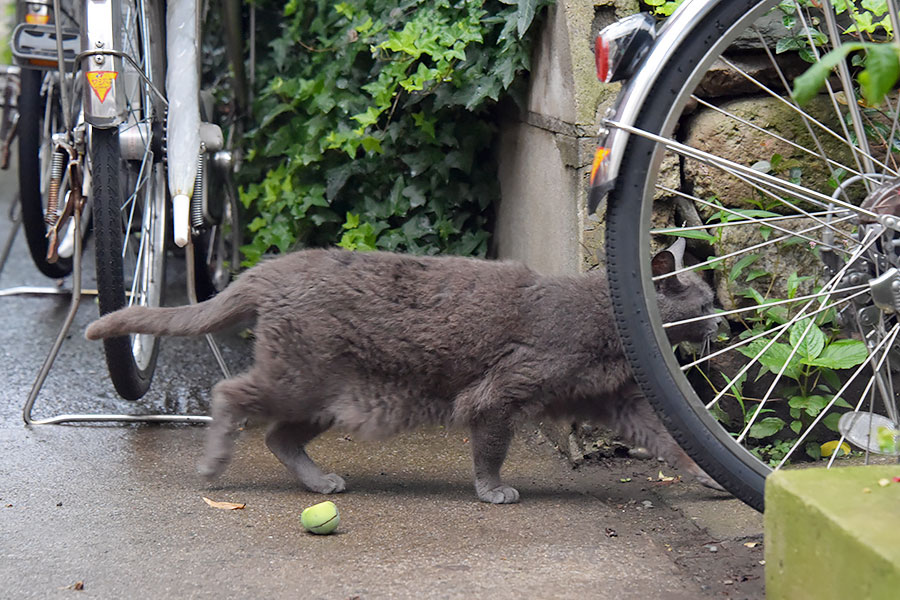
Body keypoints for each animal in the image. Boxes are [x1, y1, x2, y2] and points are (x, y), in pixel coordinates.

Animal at [86, 243, 724, 502]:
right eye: (708, 301)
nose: (728, 324)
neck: (609, 328)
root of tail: (270, 269)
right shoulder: (499, 394)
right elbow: (490, 450)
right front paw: (492, 492)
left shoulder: (620, 401)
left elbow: (673, 439)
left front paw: (713, 477)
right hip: (299, 377)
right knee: (229, 392)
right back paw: (213, 463)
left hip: (328, 395)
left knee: (278, 437)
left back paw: (320, 482)